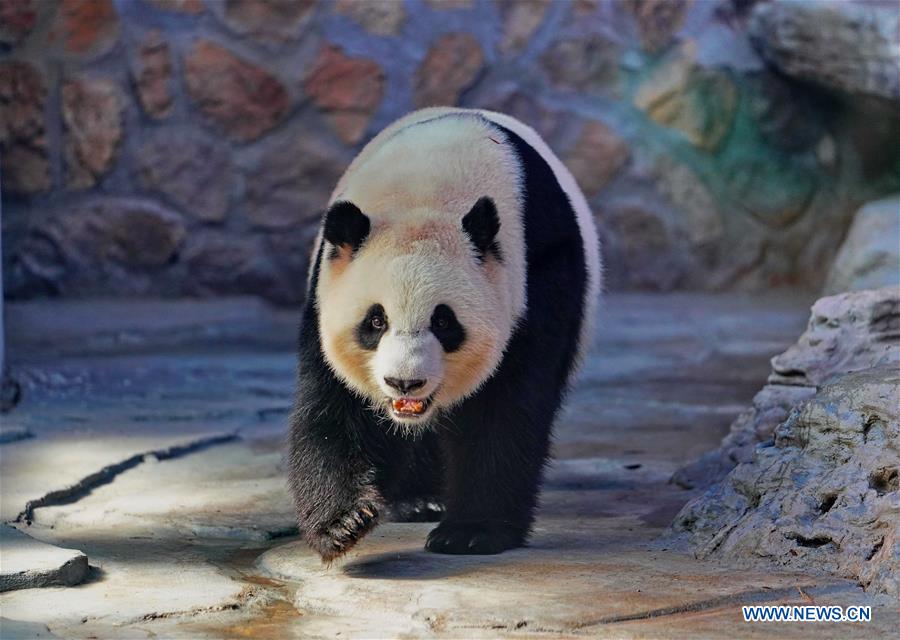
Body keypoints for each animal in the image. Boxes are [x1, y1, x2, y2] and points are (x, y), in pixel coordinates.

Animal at [289, 107, 601, 560]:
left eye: (443, 322)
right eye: (376, 321)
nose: (404, 382)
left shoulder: (535, 275)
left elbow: (504, 407)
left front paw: (472, 532)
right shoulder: (325, 289)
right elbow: (336, 405)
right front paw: (344, 522)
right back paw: (417, 501)